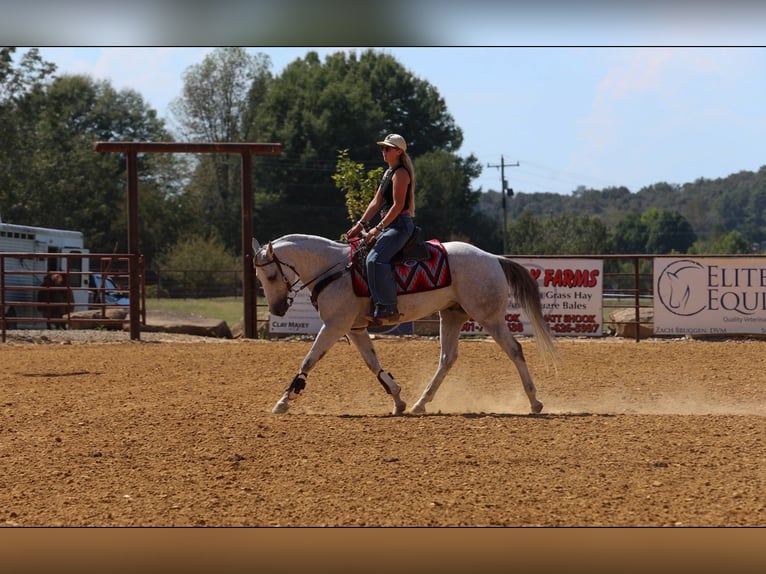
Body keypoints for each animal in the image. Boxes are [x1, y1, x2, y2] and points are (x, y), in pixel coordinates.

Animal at [252, 234, 558, 416]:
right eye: (259, 277)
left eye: (270, 275)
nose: (277, 309)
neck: (336, 270)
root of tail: (493, 258)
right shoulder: (355, 329)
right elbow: (373, 363)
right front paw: (398, 399)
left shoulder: (334, 326)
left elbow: (309, 360)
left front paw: (283, 402)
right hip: (451, 315)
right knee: (447, 358)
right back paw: (421, 403)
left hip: (489, 317)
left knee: (515, 350)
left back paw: (535, 402)